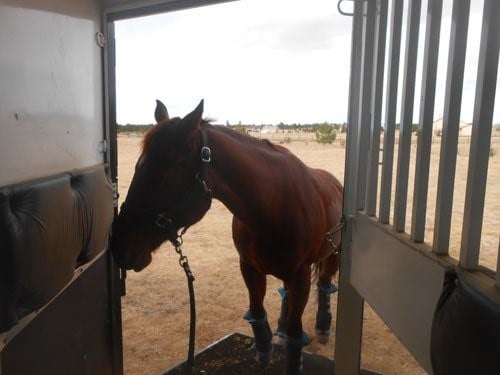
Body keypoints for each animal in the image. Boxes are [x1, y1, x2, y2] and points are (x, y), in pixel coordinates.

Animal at [109, 98, 344, 374]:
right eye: (137, 167)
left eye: (159, 175)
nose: (118, 245)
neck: (273, 208)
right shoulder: (250, 267)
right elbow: (257, 310)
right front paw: (265, 348)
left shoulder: (300, 275)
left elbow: (297, 335)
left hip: (332, 258)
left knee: (325, 284)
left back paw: (323, 326)